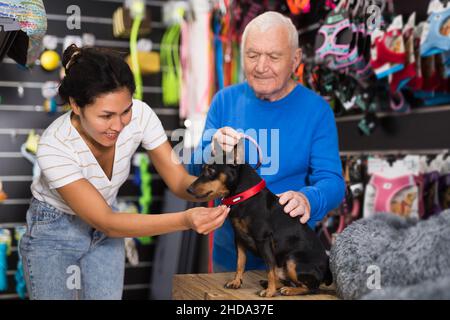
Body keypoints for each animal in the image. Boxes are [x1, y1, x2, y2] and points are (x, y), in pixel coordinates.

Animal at [186, 140, 330, 298]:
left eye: (211, 171)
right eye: (202, 169)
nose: (188, 190)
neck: (244, 197)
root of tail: (326, 273)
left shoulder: (263, 240)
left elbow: (269, 268)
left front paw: (270, 292)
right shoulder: (239, 238)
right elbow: (240, 263)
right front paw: (236, 282)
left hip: (292, 260)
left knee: (311, 288)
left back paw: (288, 290)